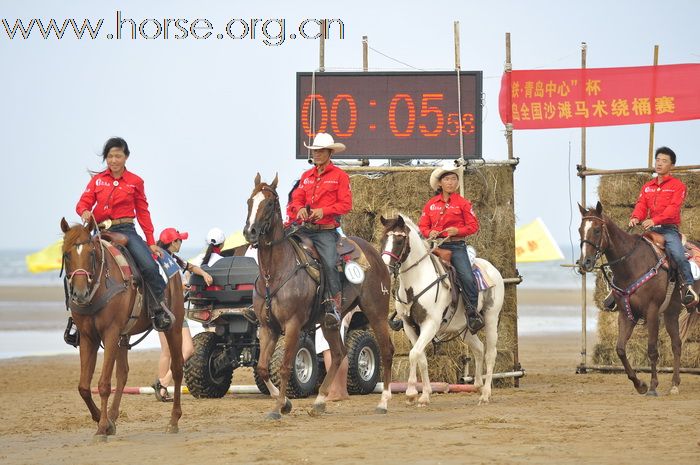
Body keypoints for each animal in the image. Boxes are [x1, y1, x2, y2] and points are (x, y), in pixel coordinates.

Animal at [60, 216, 185, 436]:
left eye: (91, 253)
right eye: (66, 254)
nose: (80, 293)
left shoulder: (110, 333)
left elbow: (103, 383)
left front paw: (102, 427)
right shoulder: (88, 337)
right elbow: (84, 387)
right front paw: (103, 421)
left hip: (173, 327)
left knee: (177, 368)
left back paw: (173, 420)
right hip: (123, 336)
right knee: (123, 374)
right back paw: (113, 416)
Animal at [242, 175, 394, 420]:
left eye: (270, 203)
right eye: (250, 201)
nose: (251, 232)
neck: (275, 272)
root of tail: (375, 254)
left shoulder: (292, 325)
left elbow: (285, 366)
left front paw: (278, 408)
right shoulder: (267, 327)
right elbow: (263, 368)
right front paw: (285, 403)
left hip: (376, 311)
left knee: (386, 350)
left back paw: (383, 402)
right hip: (329, 322)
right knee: (339, 353)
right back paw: (320, 401)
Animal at [378, 216, 504, 404]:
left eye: (399, 241)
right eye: (383, 240)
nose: (385, 269)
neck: (417, 281)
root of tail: (492, 267)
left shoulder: (430, 324)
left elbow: (414, 354)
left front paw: (411, 393)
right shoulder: (409, 326)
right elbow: (421, 357)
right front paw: (425, 394)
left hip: (491, 318)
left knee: (490, 353)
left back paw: (486, 394)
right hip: (465, 328)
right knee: (479, 348)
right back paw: (478, 385)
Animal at [576, 203, 696, 396]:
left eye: (596, 230)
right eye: (580, 230)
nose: (585, 262)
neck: (632, 264)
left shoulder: (653, 311)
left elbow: (652, 350)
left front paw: (653, 386)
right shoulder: (626, 314)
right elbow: (620, 349)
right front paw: (640, 384)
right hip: (671, 312)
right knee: (677, 344)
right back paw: (674, 384)